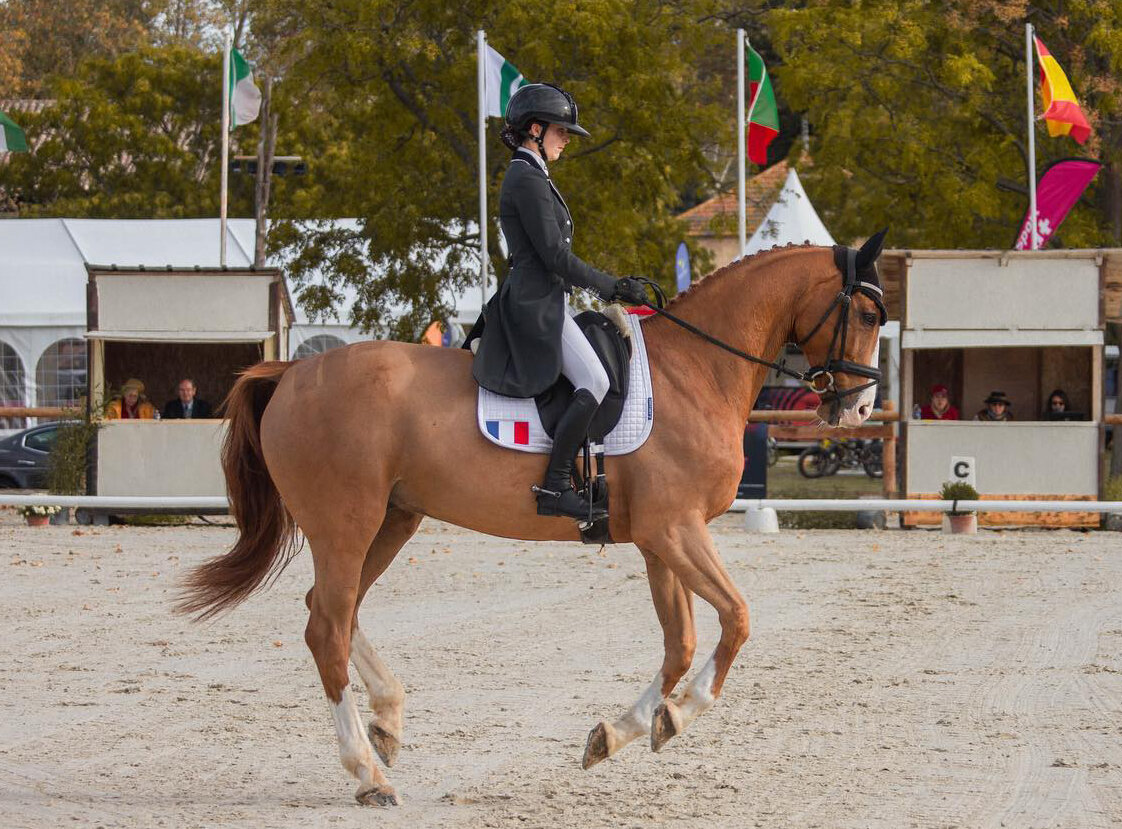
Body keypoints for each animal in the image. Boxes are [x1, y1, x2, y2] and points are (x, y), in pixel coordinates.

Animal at [179, 236, 884, 807]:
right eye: (870, 314)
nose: (857, 410)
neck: (696, 372)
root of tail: (292, 371)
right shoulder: (676, 530)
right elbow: (736, 618)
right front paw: (677, 717)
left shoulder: (659, 540)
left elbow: (680, 643)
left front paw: (622, 733)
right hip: (345, 526)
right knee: (326, 626)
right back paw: (367, 775)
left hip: (392, 520)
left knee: (333, 610)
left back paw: (388, 722)